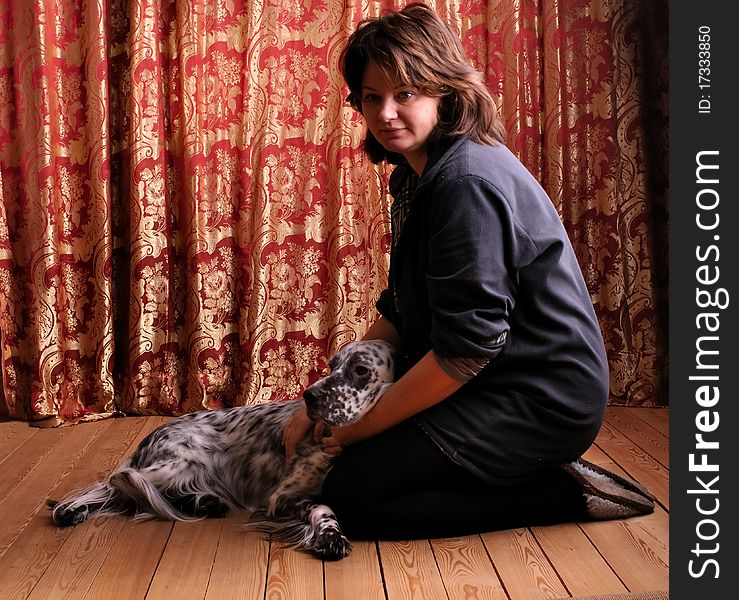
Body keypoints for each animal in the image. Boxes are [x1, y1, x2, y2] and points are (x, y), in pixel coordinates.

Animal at [48, 340, 396, 560]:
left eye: (361, 370)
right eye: (332, 365)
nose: (308, 396)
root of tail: (152, 436)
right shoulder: (281, 496)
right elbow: (323, 507)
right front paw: (330, 537)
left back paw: (205, 502)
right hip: (177, 463)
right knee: (115, 482)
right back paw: (69, 509)